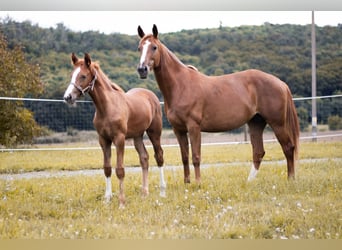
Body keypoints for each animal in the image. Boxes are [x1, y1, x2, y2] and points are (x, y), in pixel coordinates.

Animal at [64, 52, 167, 207]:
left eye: (83, 76)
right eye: (72, 74)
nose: (68, 97)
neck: (107, 107)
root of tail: (150, 94)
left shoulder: (119, 139)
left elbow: (120, 170)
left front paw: (122, 202)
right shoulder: (103, 140)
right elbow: (107, 168)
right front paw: (107, 199)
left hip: (154, 132)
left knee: (159, 156)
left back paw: (162, 192)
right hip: (137, 136)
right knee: (144, 158)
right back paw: (144, 193)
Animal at [137, 24, 300, 183]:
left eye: (154, 47)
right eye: (139, 48)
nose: (142, 69)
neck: (181, 85)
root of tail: (281, 83)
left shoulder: (194, 127)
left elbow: (196, 157)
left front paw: (198, 184)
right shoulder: (179, 130)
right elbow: (184, 157)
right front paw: (187, 183)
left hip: (277, 123)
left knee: (288, 147)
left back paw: (291, 179)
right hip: (256, 122)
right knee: (258, 152)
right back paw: (249, 182)